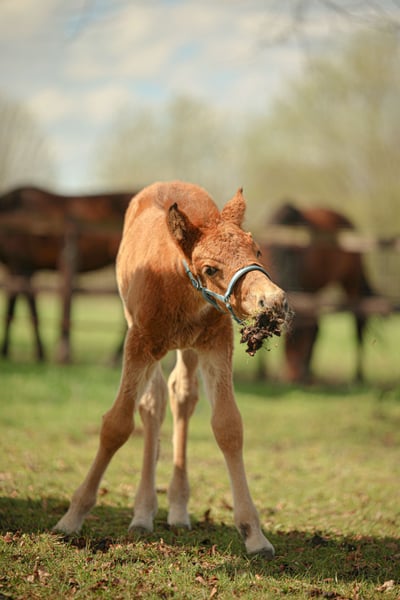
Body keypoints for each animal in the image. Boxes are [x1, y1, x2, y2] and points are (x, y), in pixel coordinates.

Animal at [0, 186, 136, 362]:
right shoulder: (16, 270)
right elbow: (13, 308)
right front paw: (7, 351)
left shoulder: (22, 268)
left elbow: (28, 309)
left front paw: (40, 353)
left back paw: (114, 357)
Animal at [54, 181, 290, 558]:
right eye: (210, 269)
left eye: (257, 250)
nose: (274, 301)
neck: (177, 283)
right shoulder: (138, 341)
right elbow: (117, 424)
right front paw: (71, 518)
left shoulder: (217, 344)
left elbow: (228, 426)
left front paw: (254, 534)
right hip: (142, 336)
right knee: (153, 403)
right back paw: (143, 514)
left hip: (189, 348)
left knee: (182, 396)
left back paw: (177, 509)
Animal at [259, 202, 373, 383]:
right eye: (287, 337)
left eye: (299, 337)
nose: (291, 376)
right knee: (318, 325)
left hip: (351, 283)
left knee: (357, 322)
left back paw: (358, 375)